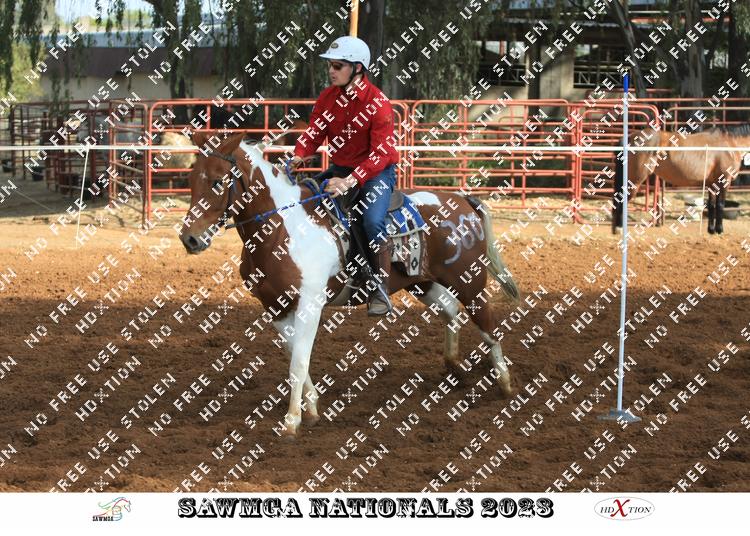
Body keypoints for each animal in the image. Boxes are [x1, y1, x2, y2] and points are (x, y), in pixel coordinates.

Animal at [178, 131, 520, 438]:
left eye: (217, 181)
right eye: (191, 179)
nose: (189, 239)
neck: (282, 230)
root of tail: (463, 201)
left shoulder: (309, 304)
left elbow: (298, 363)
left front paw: (291, 422)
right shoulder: (275, 307)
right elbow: (295, 356)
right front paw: (312, 409)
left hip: (470, 280)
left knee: (488, 324)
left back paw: (505, 384)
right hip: (422, 283)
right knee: (451, 311)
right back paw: (455, 369)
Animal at [612, 125, 749, 234]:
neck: (729, 145)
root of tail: (630, 137)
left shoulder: (712, 183)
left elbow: (711, 205)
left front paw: (711, 230)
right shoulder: (725, 180)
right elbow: (720, 205)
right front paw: (719, 230)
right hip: (635, 179)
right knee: (622, 199)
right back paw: (619, 229)